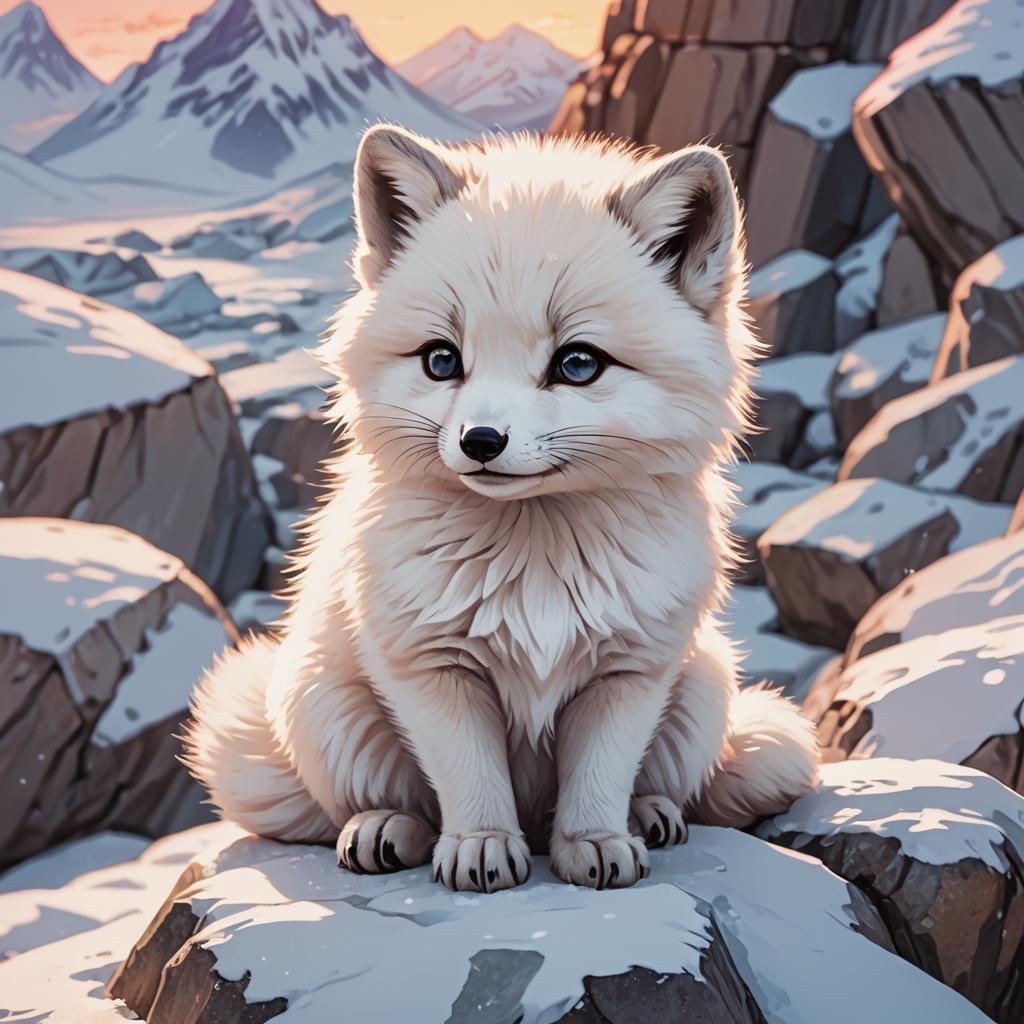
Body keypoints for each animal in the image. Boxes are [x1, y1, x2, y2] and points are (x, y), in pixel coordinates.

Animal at [184, 124, 819, 893]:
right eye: (441, 359)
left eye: (578, 363)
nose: (480, 441)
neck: (535, 563)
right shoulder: (432, 668)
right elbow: (470, 778)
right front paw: (482, 847)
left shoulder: (629, 672)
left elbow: (600, 777)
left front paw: (596, 843)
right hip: (323, 708)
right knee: (382, 803)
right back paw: (384, 830)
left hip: (703, 685)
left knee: (656, 784)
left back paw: (648, 817)